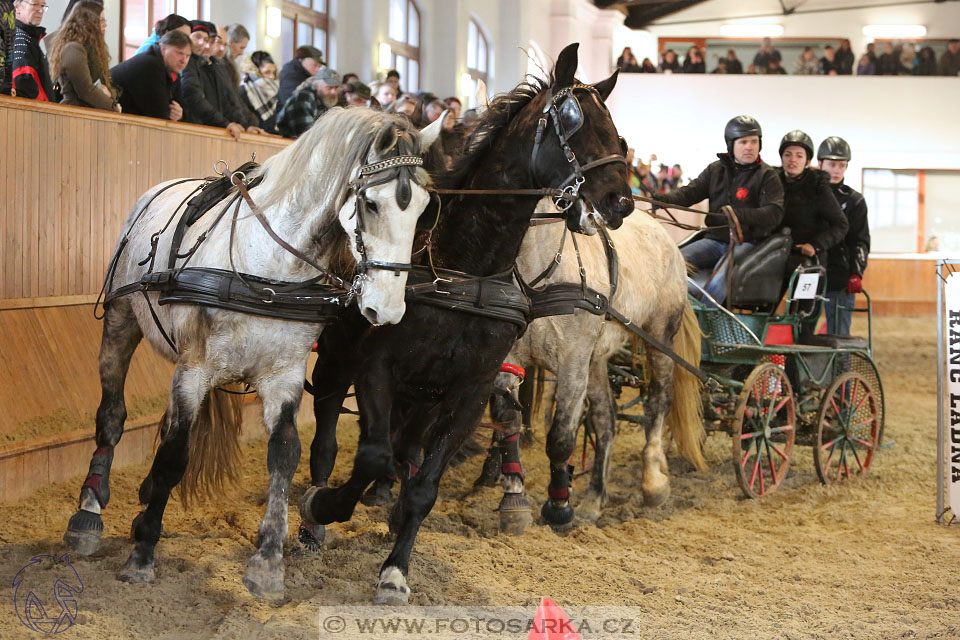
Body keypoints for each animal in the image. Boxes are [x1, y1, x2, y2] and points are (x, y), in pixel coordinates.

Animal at [63, 106, 446, 600]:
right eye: (372, 204)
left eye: (423, 209)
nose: (389, 308)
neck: (269, 271)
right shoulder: (194, 367)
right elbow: (174, 455)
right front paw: (143, 555)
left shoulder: (283, 374)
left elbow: (283, 454)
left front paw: (267, 563)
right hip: (120, 321)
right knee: (112, 415)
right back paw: (88, 512)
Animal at [296, 42, 632, 604]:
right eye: (571, 120)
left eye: (616, 131)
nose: (620, 201)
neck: (468, 266)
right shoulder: (376, 366)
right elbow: (369, 454)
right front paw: (329, 506)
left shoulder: (468, 391)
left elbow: (423, 485)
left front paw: (395, 567)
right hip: (337, 360)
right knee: (328, 439)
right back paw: (312, 520)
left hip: (422, 394)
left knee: (404, 446)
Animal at [488, 201, 704, 528]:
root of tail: (664, 235)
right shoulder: (509, 360)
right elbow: (507, 423)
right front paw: (514, 502)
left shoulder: (573, 361)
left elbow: (561, 438)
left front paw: (559, 508)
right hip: (597, 360)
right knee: (605, 421)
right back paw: (594, 497)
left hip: (660, 338)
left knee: (659, 400)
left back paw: (654, 481)